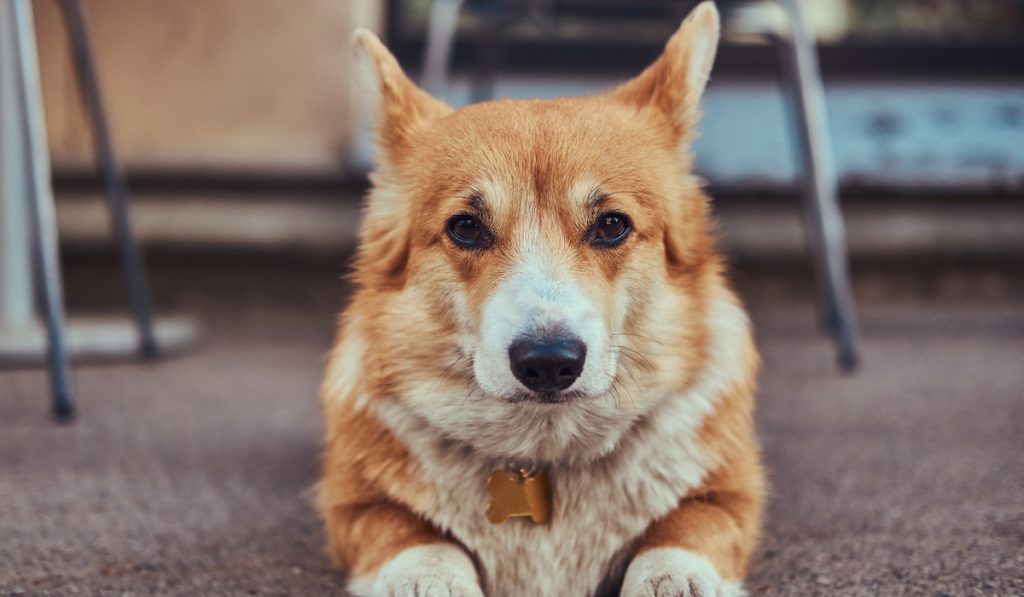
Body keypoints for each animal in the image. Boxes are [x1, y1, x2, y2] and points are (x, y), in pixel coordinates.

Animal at [315, 3, 765, 593]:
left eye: (612, 225)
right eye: (466, 228)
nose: (549, 363)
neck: (542, 452)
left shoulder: (731, 494)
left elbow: (683, 528)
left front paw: (676, 577)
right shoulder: (353, 505)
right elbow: (414, 535)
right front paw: (429, 576)